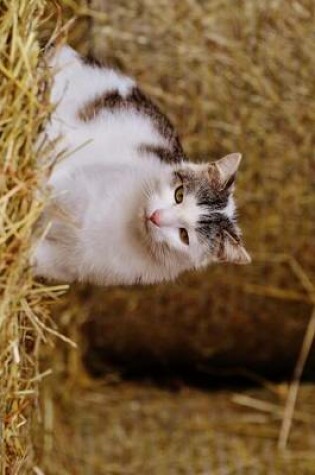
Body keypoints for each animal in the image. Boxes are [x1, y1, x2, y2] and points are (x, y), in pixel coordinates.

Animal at [34, 45, 252, 286]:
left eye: (184, 236)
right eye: (179, 194)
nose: (156, 216)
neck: (127, 225)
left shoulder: (66, 263)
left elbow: (36, 257)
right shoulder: (70, 181)